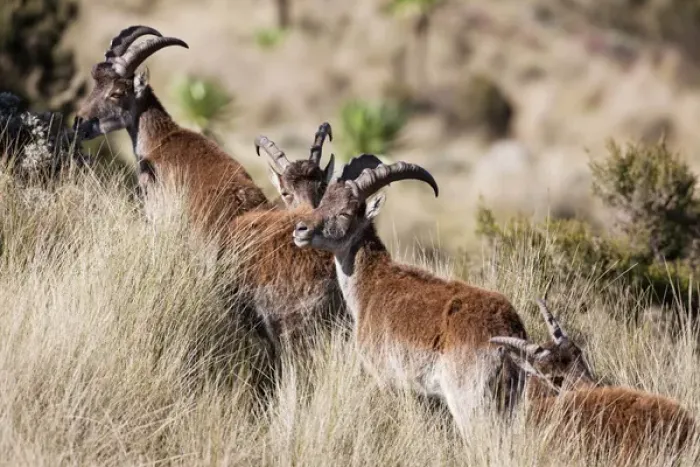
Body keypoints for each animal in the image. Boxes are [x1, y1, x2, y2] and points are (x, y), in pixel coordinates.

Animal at [291, 160, 529, 435]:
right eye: (323, 203)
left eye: (345, 213)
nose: (301, 230)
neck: (371, 284)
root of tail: (505, 336)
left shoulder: (387, 378)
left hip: (469, 403)